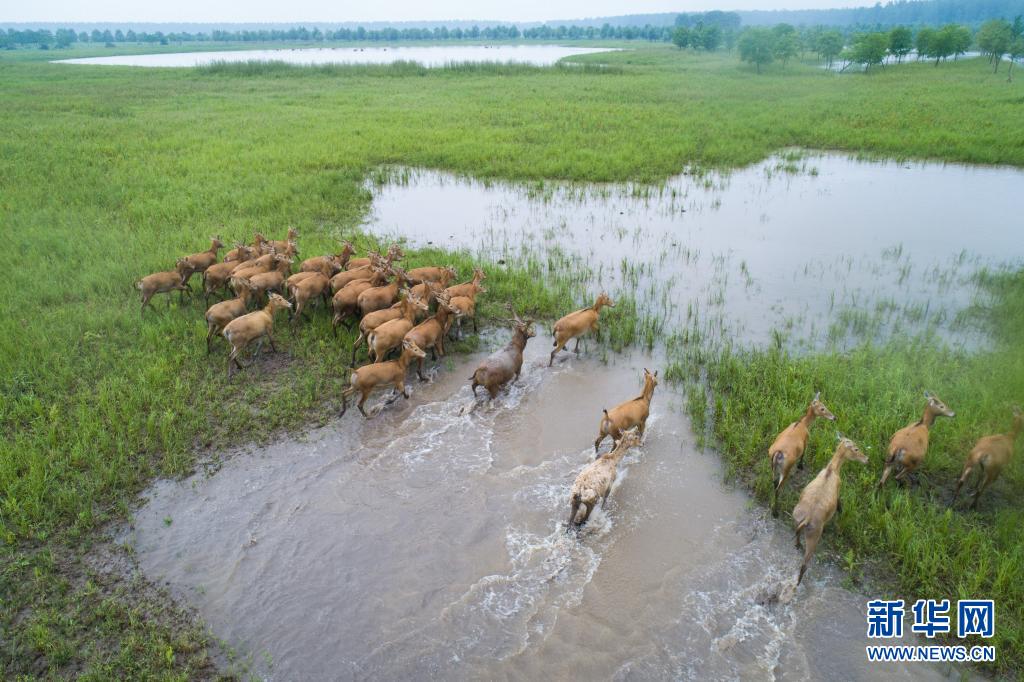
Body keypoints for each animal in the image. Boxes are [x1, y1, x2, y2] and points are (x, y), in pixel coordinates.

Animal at [790, 432, 864, 581]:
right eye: (856, 449)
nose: (866, 459)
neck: (831, 470)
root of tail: (807, 519)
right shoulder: (838, 489)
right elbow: (839, 502)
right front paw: (841, 511)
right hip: (814, 537)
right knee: (804, 565)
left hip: (796, 520)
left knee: (797, 535)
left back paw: (798, 545)